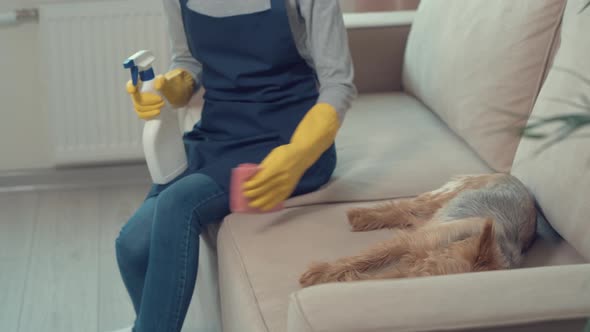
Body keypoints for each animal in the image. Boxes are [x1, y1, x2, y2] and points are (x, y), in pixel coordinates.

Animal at [300, 172, 536, 286]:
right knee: (404, 207)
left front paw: (351, 279)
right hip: (442, 198)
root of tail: (508, 175)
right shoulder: (407, 242)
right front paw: (321, 273)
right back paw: (361, 216)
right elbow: (367, 258)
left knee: (409, 215)